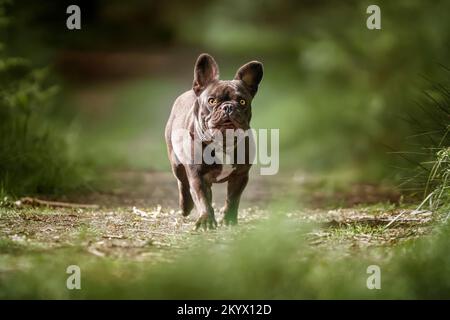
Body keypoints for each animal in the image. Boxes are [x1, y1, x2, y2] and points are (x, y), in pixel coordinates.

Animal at [165, 54, 264, 230]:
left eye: (242, 102)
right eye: (211, 101)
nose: (228, 107)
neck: (223, 143)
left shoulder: (240, 175)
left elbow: (233, 199)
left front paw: (228, 219)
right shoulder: (197, 175)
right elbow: (201, 198)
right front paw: (205, 220)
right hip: (176, 163)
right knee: (182, 183)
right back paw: (186, 207)